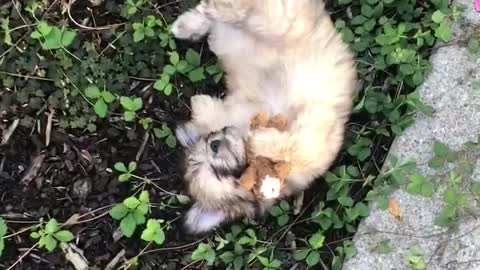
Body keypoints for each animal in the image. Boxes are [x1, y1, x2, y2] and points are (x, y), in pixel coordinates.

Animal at [172, 0, 356, 234]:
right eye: (218, 173)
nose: (214, 144)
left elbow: (290, 149)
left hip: (278, 23)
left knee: (243, 10)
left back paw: (197, 20)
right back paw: (190, 25)